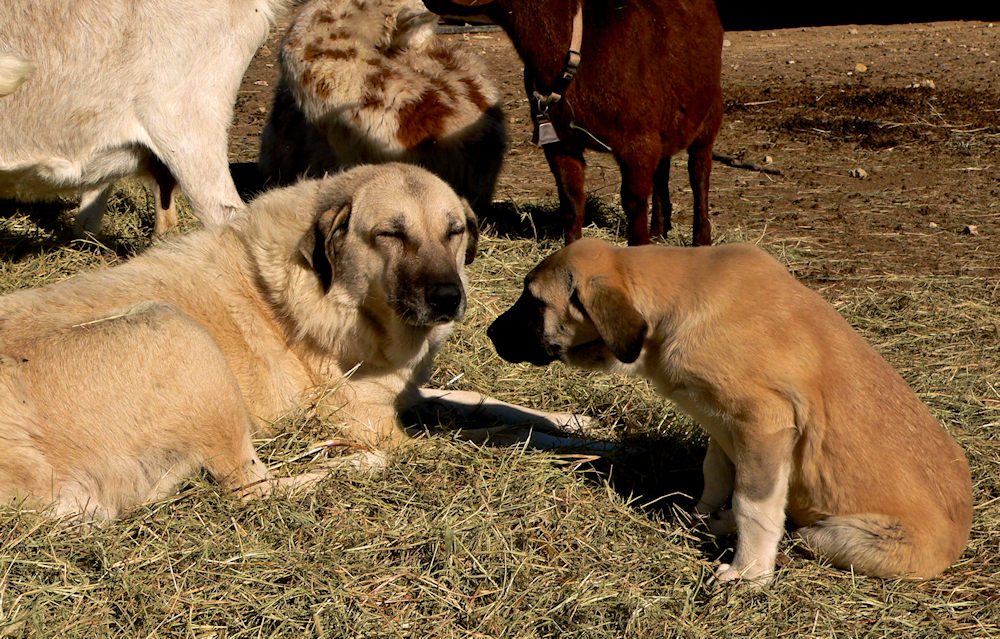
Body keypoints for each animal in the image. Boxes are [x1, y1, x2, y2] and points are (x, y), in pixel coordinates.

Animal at [420, 0, 720, 246]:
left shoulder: (638, 141)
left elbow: (634, 204)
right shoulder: (560, 141)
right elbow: (572, 201)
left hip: (709, 114)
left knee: (699, 173)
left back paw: (701, 239)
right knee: (663, 168)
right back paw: (658, 231)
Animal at [488, 239, 972, 584]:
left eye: (533, 302)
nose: (490, 332)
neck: (671, 311)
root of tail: (961, 537)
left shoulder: (764, 422)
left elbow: (753, 504)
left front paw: (749, 572)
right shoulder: (721, 424)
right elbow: (717, 476)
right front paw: (701, 517)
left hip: (836, 535)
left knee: (799, 532)